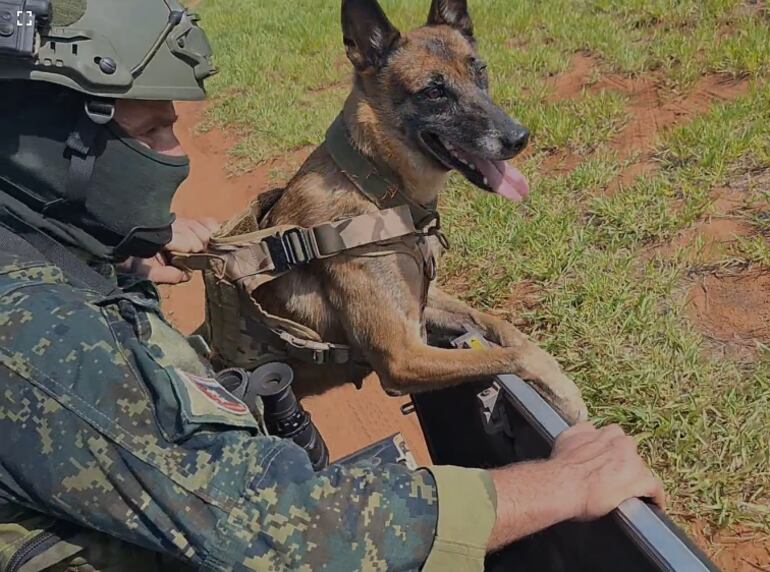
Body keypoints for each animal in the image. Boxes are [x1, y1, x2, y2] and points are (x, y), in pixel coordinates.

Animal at [255, 0, 584, 420]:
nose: (519, 138)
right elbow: (502, 357)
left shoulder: (424, 303)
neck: (376, 186)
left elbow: (501, 328)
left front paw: (559, 384)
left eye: (480, 70)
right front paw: (565, 391)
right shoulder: (402, 356)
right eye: (433, 91)